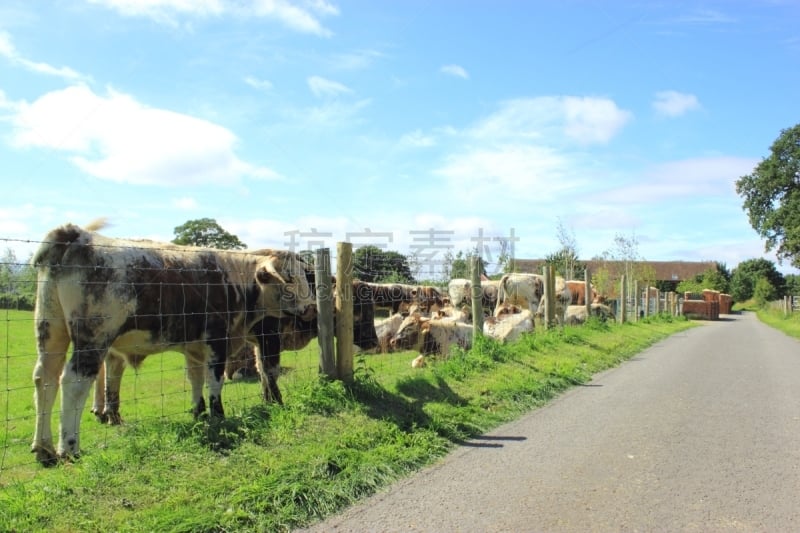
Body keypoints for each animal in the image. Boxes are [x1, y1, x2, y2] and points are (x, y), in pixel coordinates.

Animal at [30, 222, 316, 464]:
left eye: (304, 276)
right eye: (289, 278)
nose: (310, 308)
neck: (234, 278)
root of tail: (77, 234)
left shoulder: (194, 347)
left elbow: (195, 378)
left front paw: (198, 412)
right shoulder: (217, 341)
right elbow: (217, 381)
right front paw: (218, 416)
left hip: (51, 331)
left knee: (45, 378)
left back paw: (44, 448)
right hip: (94, 339)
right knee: (74, 382)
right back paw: (69, 447)